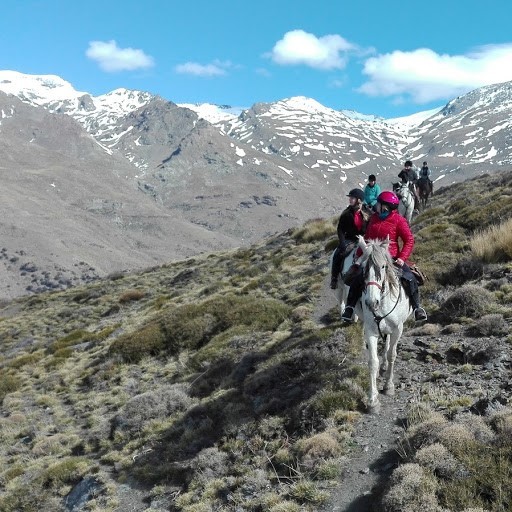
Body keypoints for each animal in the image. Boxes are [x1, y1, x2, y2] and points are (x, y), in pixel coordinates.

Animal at [352, 236, 412, 412]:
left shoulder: (398, 329)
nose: (372, 303)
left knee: (388, 347)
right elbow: (372, 362)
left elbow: (392, 355)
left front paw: (388, 386)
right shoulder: (370, 331)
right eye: (363, 268)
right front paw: (373, 401)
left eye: (384, 266)